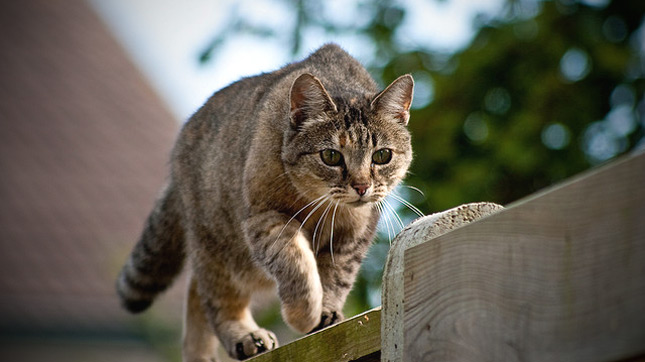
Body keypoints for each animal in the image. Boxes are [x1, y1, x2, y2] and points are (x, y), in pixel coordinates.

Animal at [115, 43, 412, 362]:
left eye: (382, 155)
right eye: (331, 156)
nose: (361, 186)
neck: (319, 206)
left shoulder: (355, 233)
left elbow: (336, 276)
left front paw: (325, 312)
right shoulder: (264, 218)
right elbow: (296, 264)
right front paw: (303, 314)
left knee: (196, 291)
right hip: (217, 246)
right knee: (214, 297)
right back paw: (243, 335)